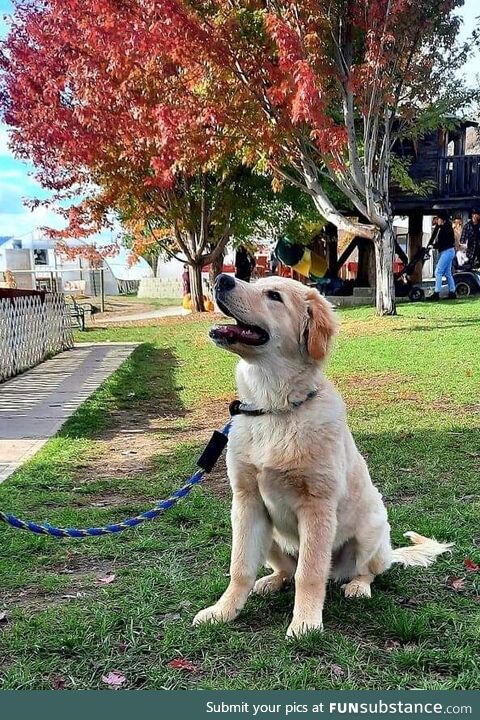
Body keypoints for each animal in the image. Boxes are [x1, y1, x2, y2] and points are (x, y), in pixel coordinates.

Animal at [193, 274, 452, 636]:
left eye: (274, 296)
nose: (221, 278)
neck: (274, 408)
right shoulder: (246, 503)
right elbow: (240, 566)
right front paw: (223, 611)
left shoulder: (317, 506)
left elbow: (310, 573)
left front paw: (305, 623)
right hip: (270, 535)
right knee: (285, 570)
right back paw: (271, 580)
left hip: (371, 530)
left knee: (365, 571)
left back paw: (358, 586)